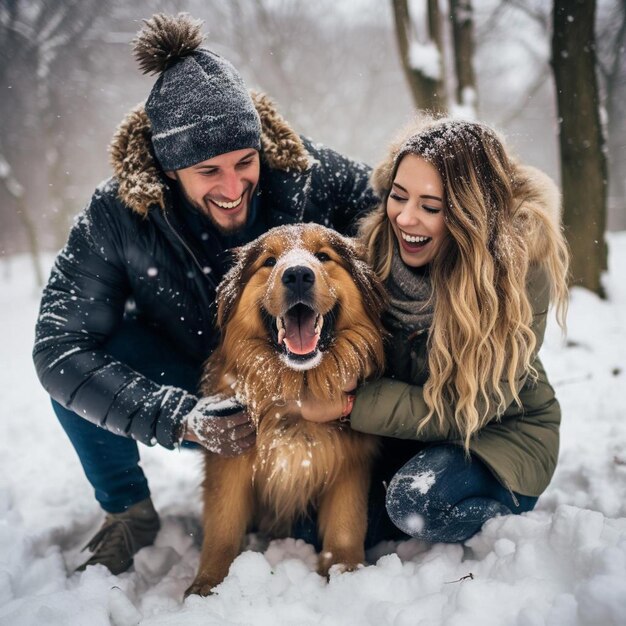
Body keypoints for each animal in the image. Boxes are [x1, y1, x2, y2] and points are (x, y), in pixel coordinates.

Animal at [185, 222, 386, 592]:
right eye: (269, 261)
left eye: (323, 256)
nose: (298, 275)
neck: (296, 385)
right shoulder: (230, 456)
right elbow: (222, 527)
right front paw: (208, 585)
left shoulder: (350, 462)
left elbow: (346, 526)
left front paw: (347, 577)